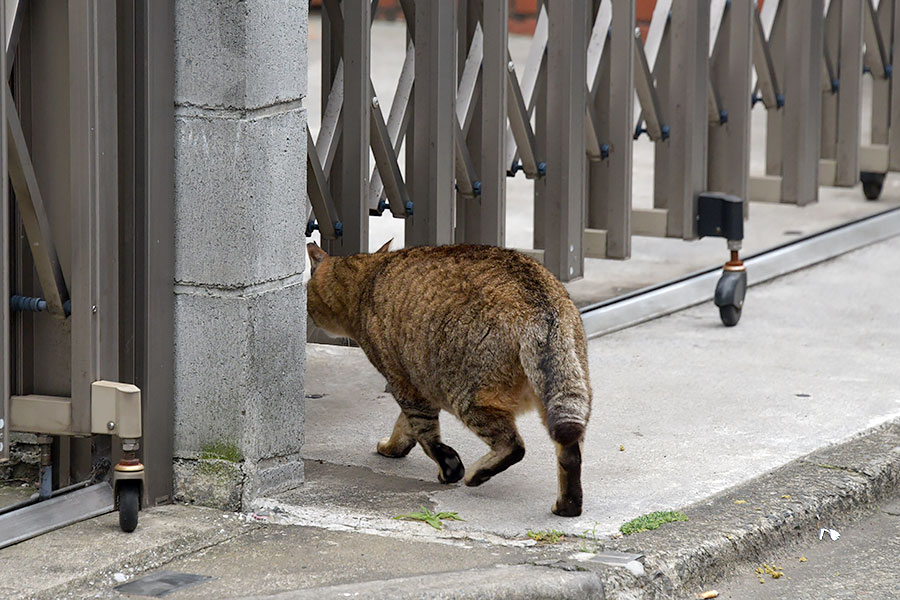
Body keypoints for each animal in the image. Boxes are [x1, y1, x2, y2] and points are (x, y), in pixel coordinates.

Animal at [306, 239, 596, 516]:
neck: (366, 277)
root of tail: (540, 306)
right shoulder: (416, 382)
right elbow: (406, 426)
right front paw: (395, 447)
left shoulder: (403, 382)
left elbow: (425, 433)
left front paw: (448, 468)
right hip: (565, 393)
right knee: (571, 452)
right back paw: (568, 506)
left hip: (469, 395)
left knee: (513, 445)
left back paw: (477, 474)